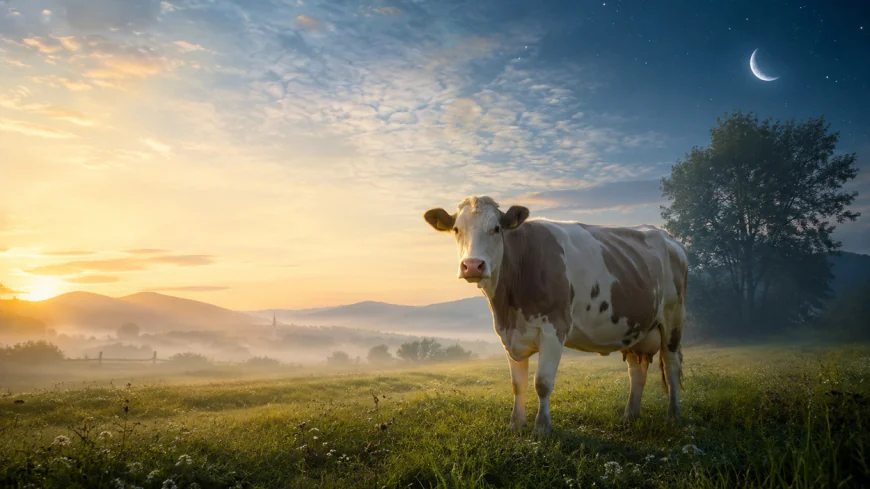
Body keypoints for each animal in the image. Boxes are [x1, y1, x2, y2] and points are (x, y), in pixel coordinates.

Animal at [424, 196, 688, 433]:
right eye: (456, 229)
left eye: (496, 228)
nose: (472, 265)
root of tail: (669, 238)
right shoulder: (508, 334)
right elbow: (517, 384)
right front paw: (515, 425)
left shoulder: (554, 329)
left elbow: (542, 382)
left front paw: (542, 427)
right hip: (634, 326)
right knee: (636, 371)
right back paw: (629, 416)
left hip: (673, 318)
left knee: (671, 367)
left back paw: (673, 416)